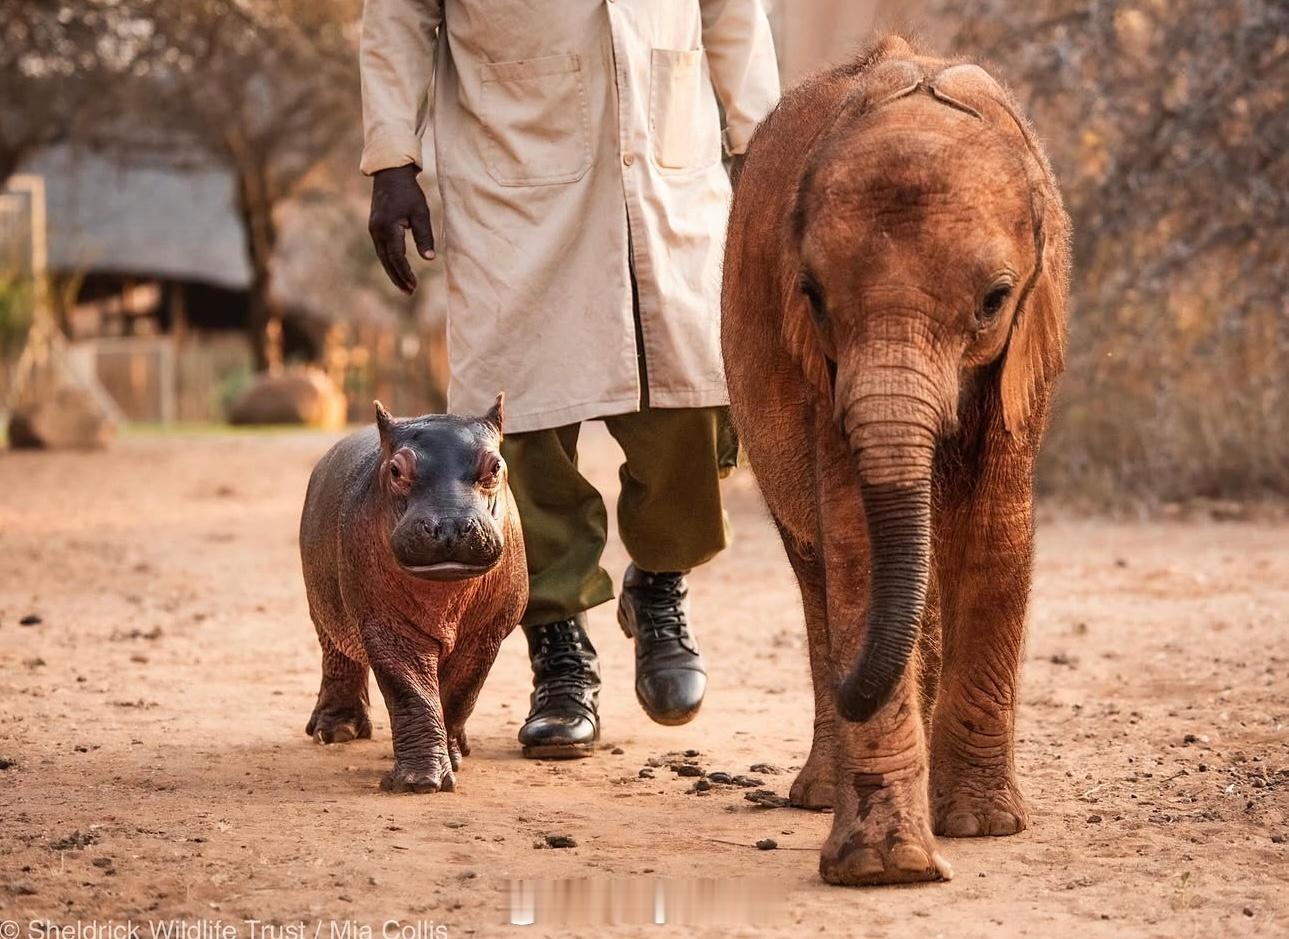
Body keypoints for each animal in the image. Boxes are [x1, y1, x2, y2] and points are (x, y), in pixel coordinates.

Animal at [721, 36, 1071, 886]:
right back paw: (821, 789)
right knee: (815, 567)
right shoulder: (819, 372)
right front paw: (889, 867)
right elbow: (853, 543)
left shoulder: (1023, 353)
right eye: (811, 296)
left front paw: (981, 826)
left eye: (993, 299)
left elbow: (995, 534)